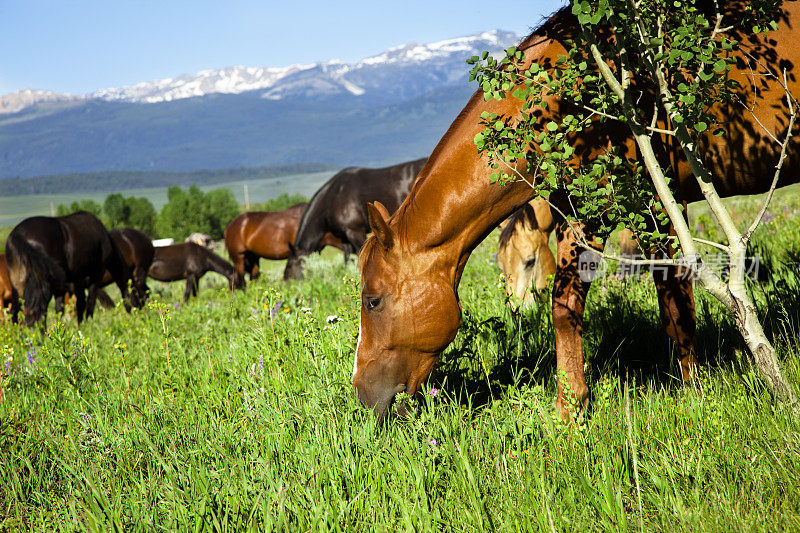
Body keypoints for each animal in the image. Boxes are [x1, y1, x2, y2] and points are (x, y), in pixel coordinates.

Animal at [284, 158, 428, 280]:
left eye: (290, 265)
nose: (286, 281)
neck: (333, 197)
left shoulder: (355, 231)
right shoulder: (345, 238)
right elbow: (348, 260)